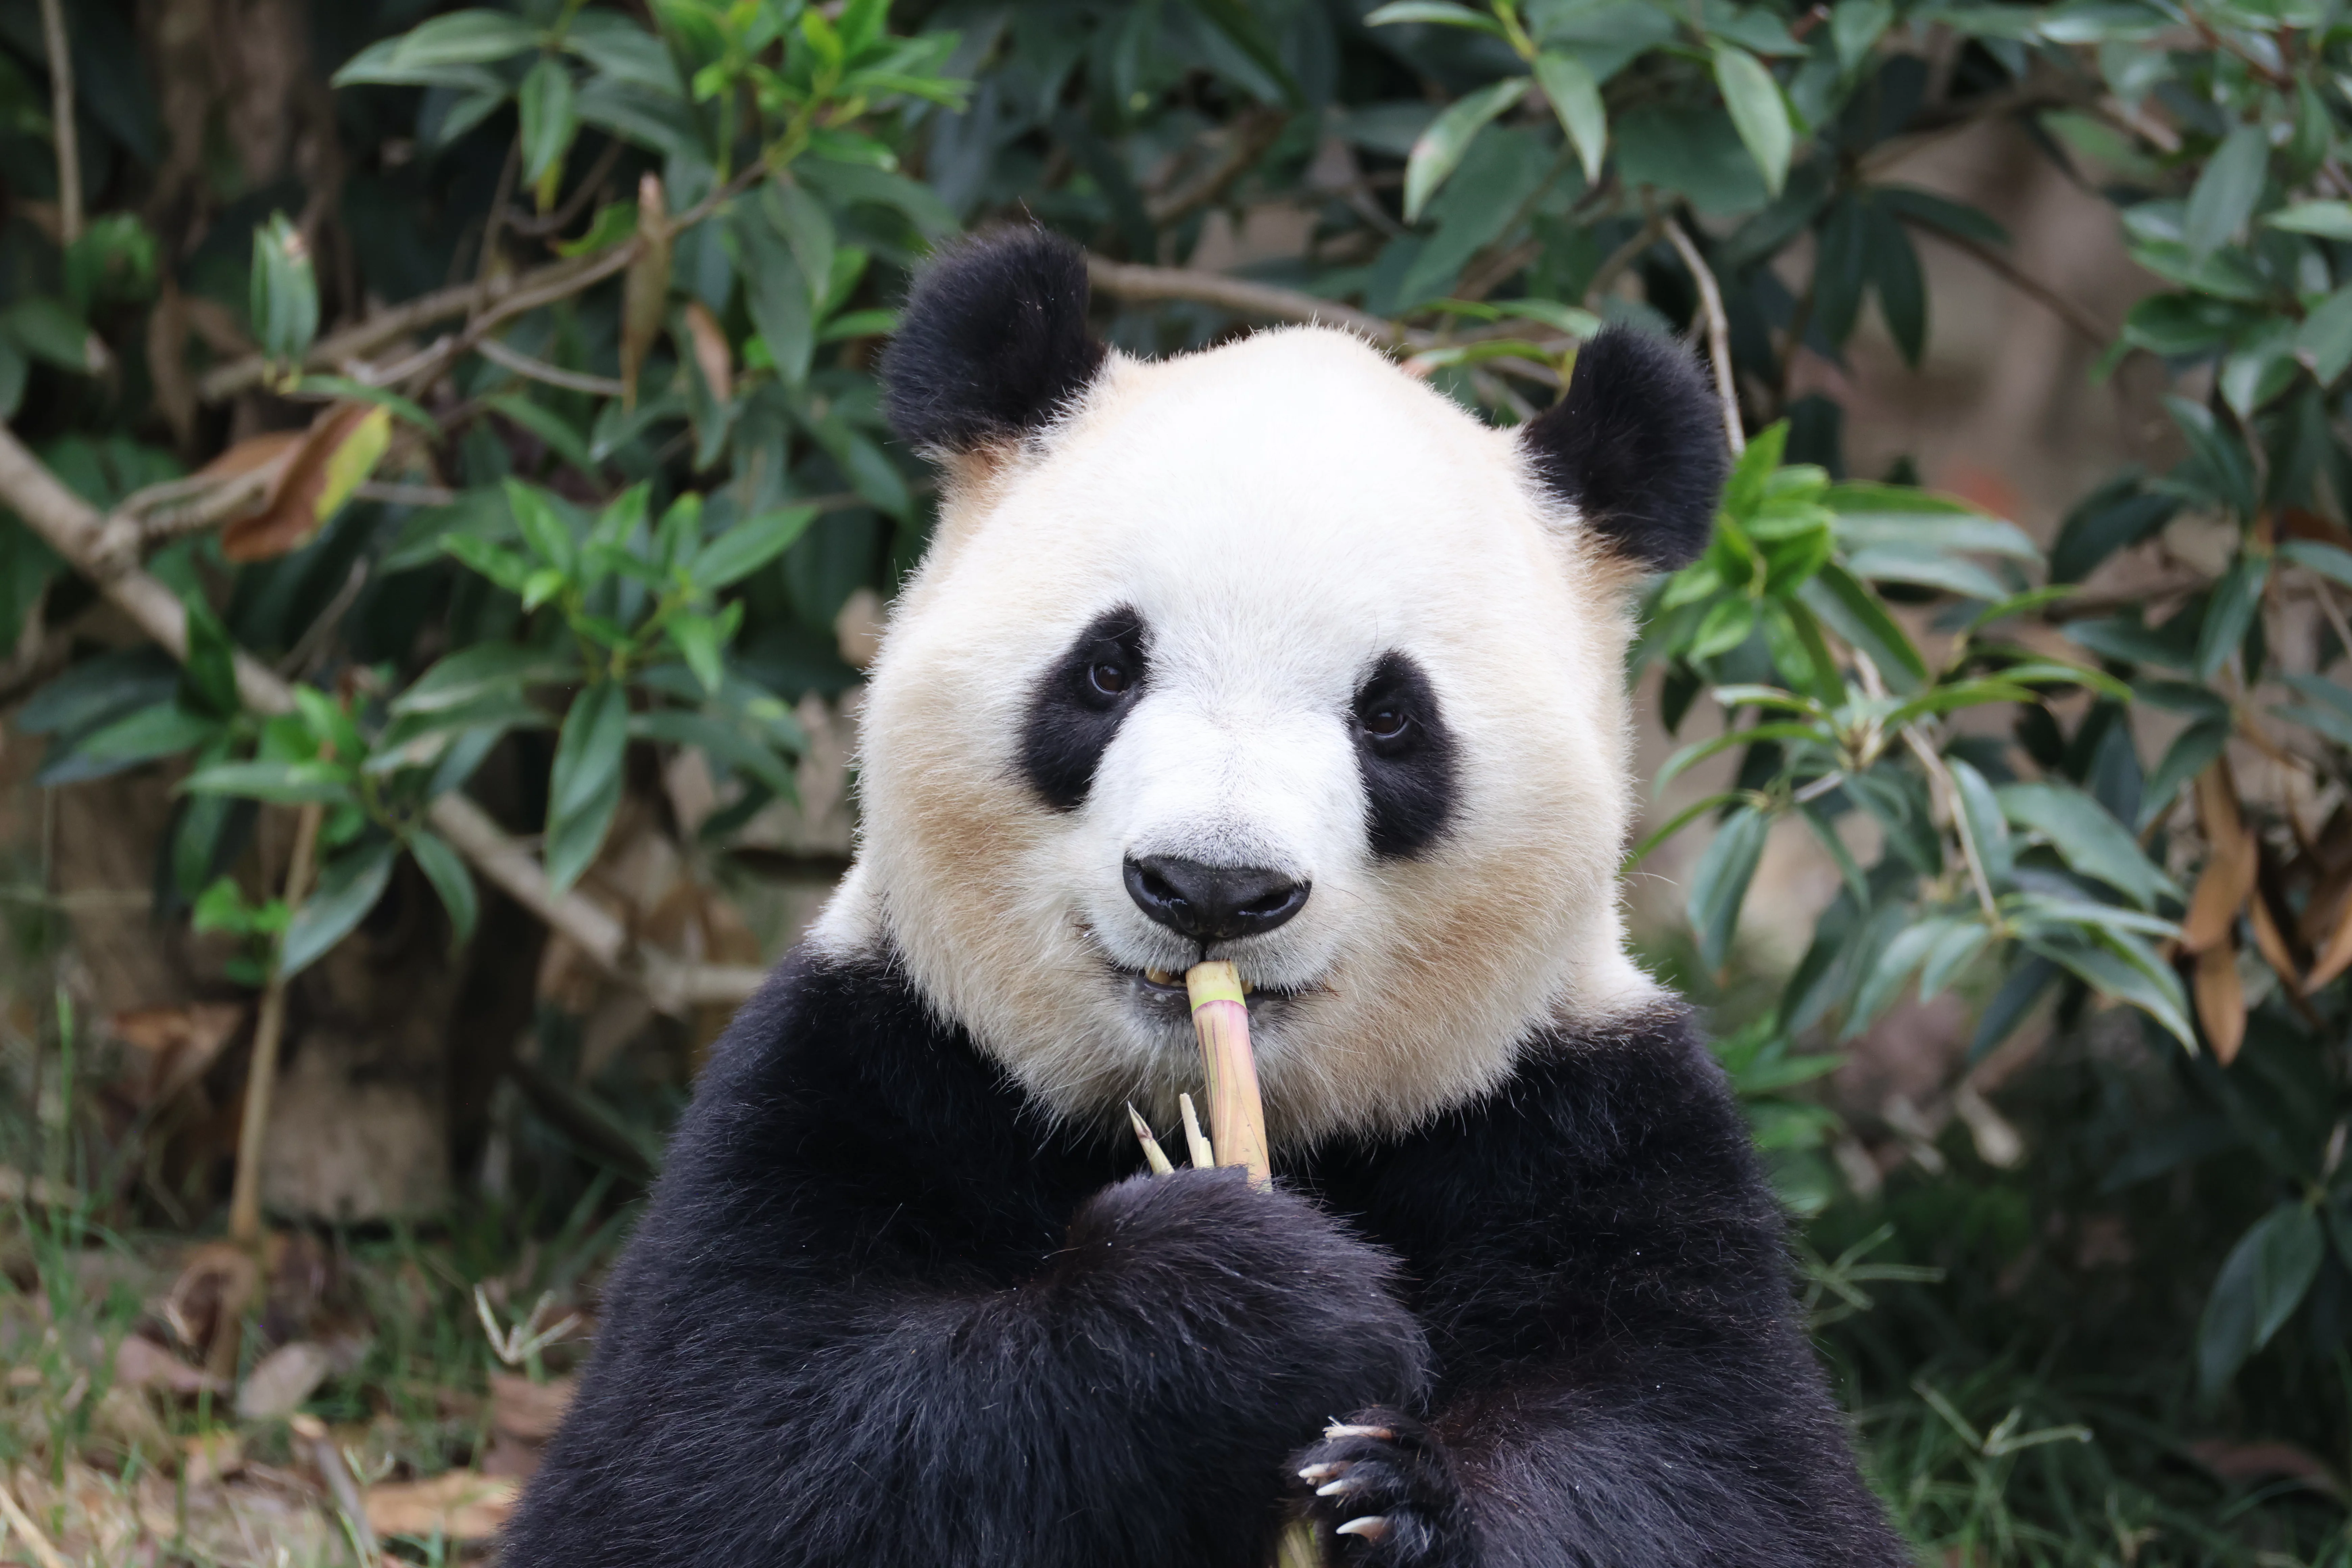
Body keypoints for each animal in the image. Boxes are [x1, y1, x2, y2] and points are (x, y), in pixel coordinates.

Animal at [501, 228, 1905, 1568]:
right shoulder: (861, 1063)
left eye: (1390, 717)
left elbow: (1725, 1479)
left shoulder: (1592, 1126)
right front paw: (1247, 1297)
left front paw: (1389, 1492)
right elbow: (713, 1456)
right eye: (1106, 669)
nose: (1213, 886)